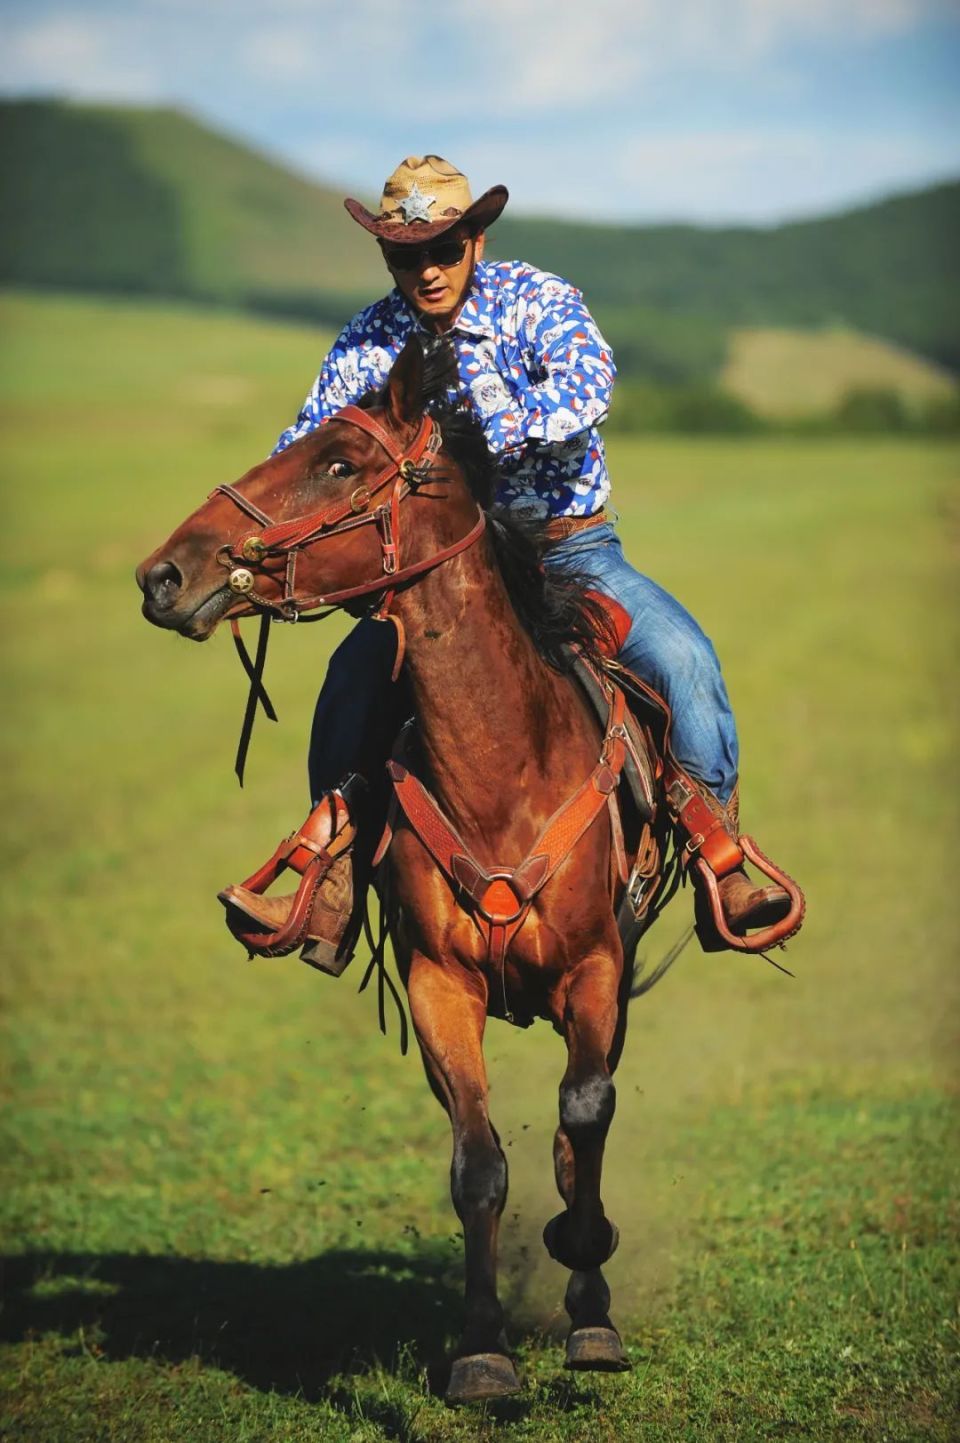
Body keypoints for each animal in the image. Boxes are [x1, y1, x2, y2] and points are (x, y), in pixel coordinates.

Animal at [138, 334, 672, 1396]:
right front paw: (482, 1351)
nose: (164, 574)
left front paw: (591, 1310)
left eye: (342, 462)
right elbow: (477, 1163)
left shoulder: (597, 968)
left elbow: (585, 1113)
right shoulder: (438, 985)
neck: (504, 770)